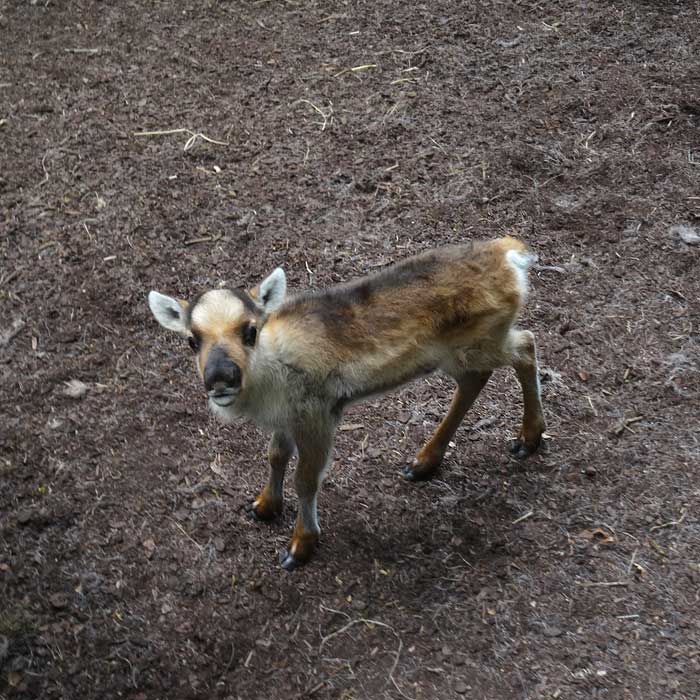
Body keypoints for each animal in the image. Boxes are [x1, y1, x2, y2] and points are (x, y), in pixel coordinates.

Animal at [149, 235, 548, 568]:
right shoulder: (287, 418)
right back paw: (423, 463)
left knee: (526, 345)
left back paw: (528, 439)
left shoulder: (319, 414)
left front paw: (300, 545)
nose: (220, 377)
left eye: (250, 330)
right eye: (191, 339)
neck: (269, 379)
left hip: (481, 342)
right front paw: (263, 506)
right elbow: (275, 456)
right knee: (477, 378)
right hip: (461, 353)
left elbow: (306, 479)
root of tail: (511, 255)